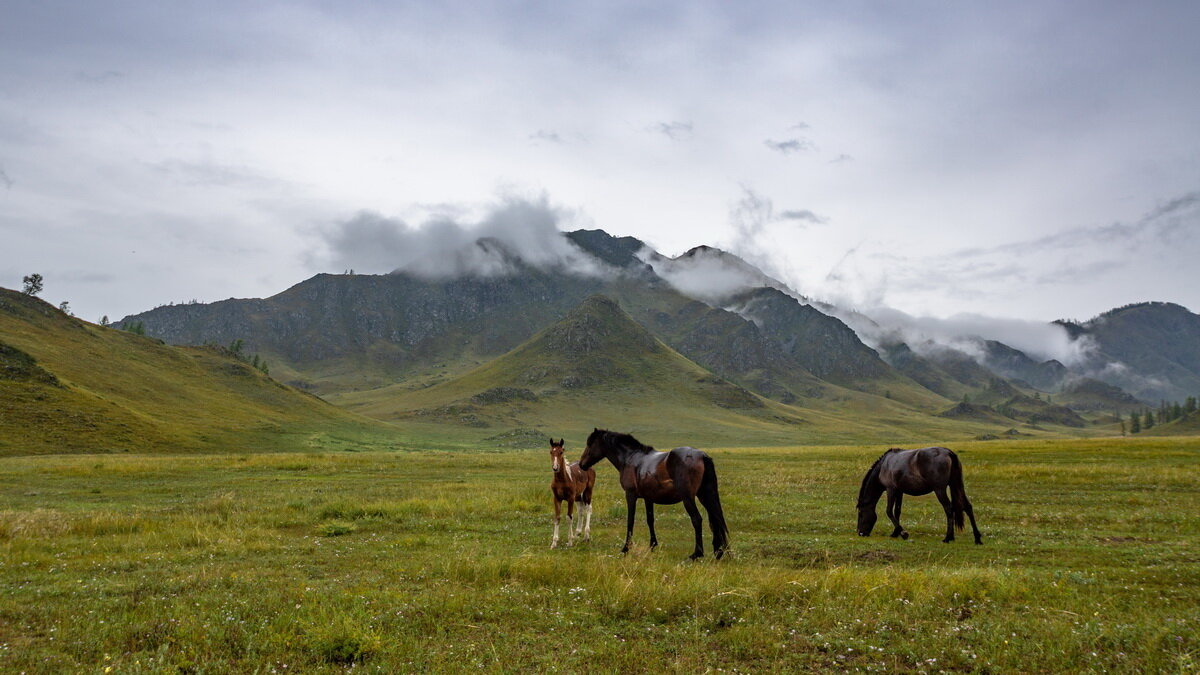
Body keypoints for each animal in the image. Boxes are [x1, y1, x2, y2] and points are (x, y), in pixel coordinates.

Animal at [576, 425, 724, 557]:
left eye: (590, 444)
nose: (581, 465)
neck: (630, 458)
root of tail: (702, 455)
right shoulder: (648, 498)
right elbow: (650, 520)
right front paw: (653, 545)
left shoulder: (630, 495)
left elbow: (630, 520)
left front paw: (626, 548)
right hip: (704, 496)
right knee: (714, 520)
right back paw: (718, 552)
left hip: (688, 498)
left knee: (697, 519)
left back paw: (697, 554)